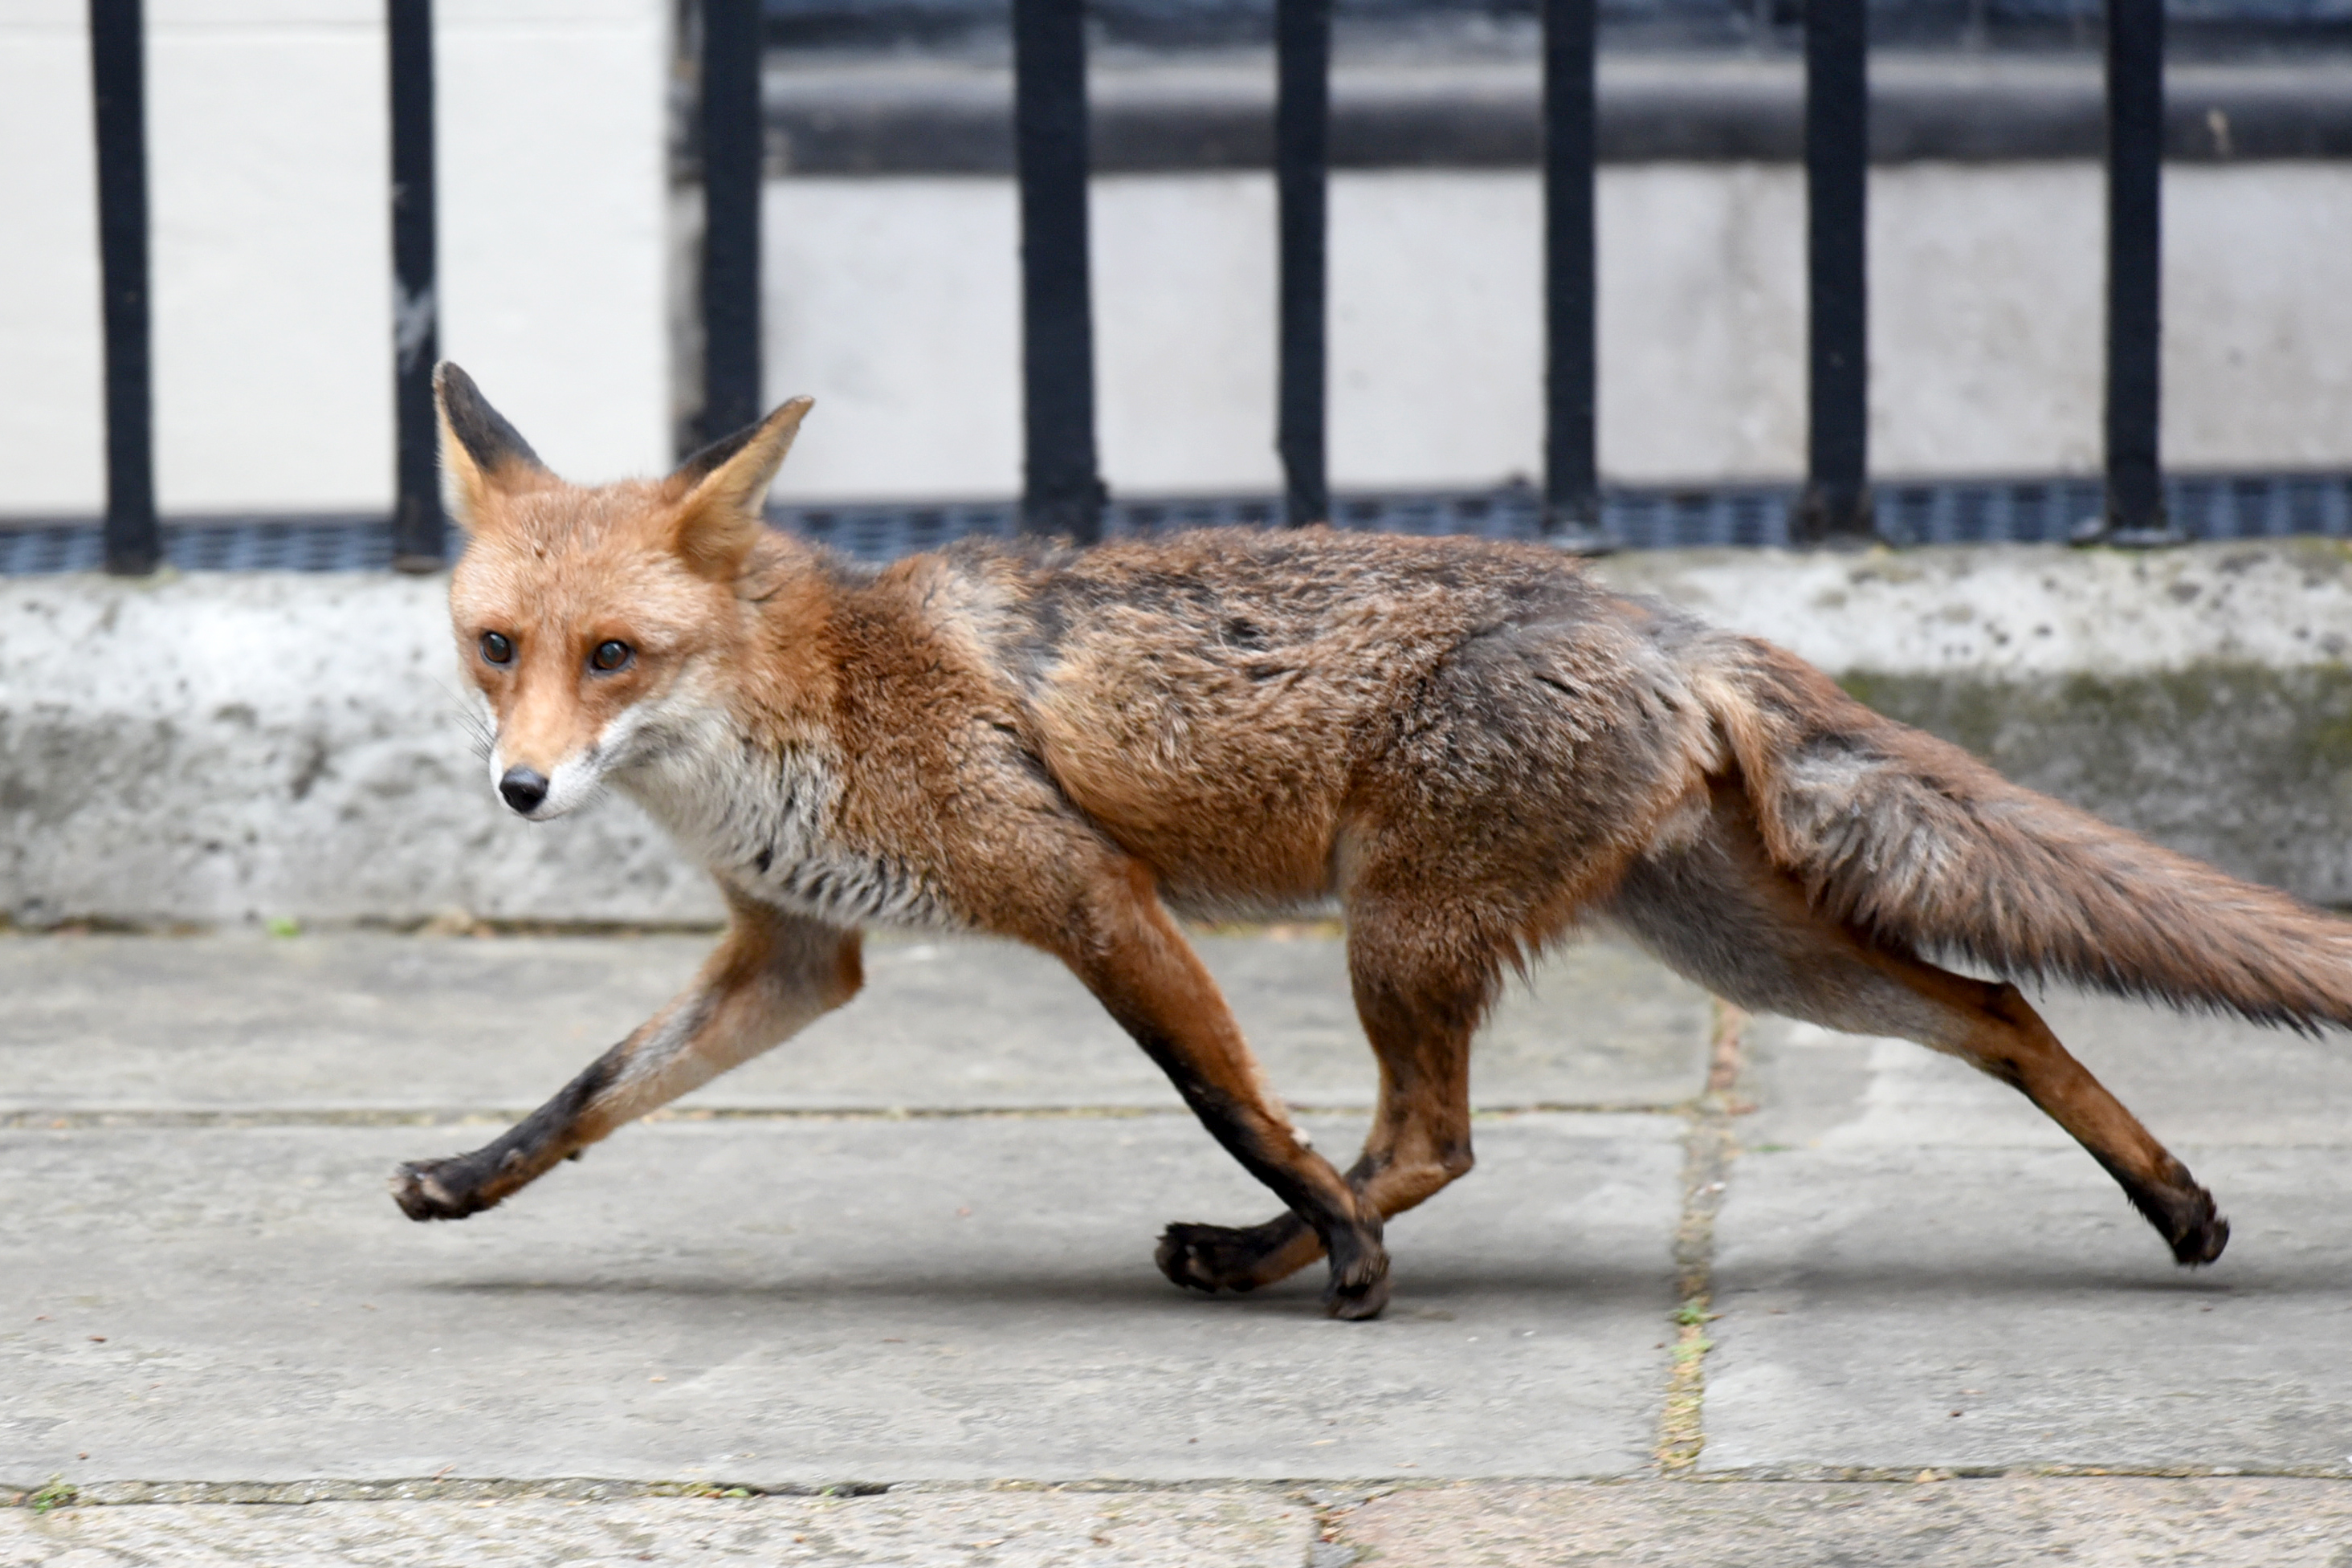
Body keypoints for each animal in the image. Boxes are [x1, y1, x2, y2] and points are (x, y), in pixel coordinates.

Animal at [390, 361, 2352, 1316]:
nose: (520, 789)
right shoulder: (794, 951)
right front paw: (466, 1180)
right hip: (1735, 951)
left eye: (611, 656)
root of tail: (1663, 619)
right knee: (1999, 1008)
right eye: (497, 647)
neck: (801, 703)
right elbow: (593, 1090)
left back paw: (1290, 1253)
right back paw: (2174, 1202)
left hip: (1402, 930)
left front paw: (1334, 1251)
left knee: (1429, 1138)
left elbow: (1232, 1101)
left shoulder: (1088, 894)